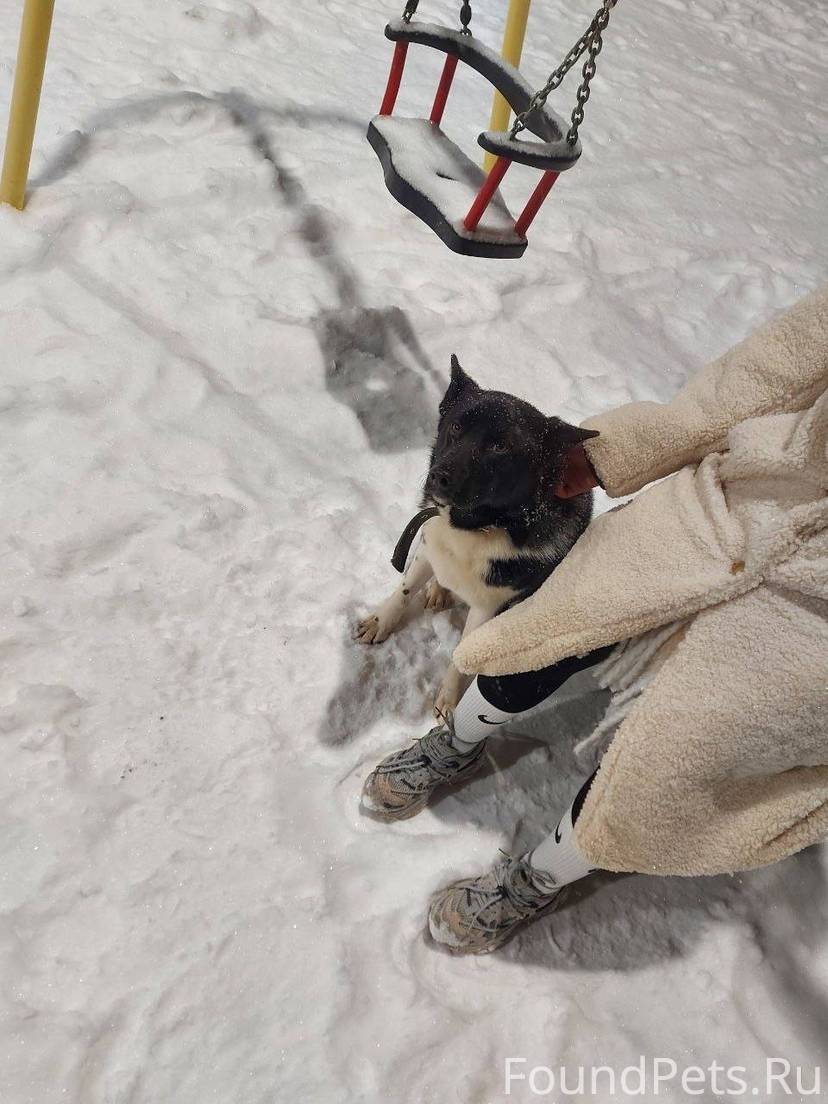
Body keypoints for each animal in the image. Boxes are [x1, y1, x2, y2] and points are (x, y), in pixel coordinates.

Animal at [355, 355, 598, 717]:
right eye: (456, 428)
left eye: (500, 446)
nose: (437, 477)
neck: (475, 528)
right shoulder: (428, 545)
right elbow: (404, 589)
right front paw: (380, 621)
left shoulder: (488, 607)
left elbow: (461, 658)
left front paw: (449, 701)